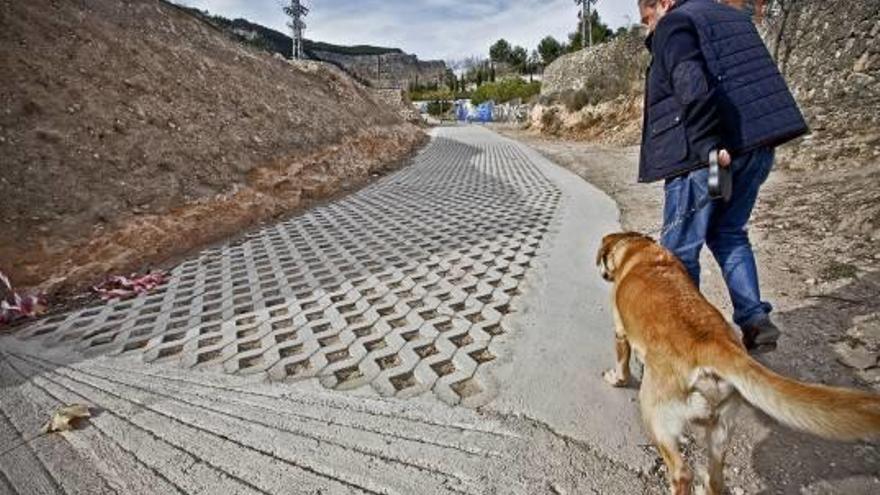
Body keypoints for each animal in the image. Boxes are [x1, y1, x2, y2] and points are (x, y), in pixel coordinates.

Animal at [600, 233, 880, 495]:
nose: (603, 273)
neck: (641, 251)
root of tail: (712, 343)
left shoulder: (620, 332)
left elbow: (622, 361)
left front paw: (617, 379)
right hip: (722, 428)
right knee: (715, 479)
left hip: (655, 415)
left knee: (682, 473)